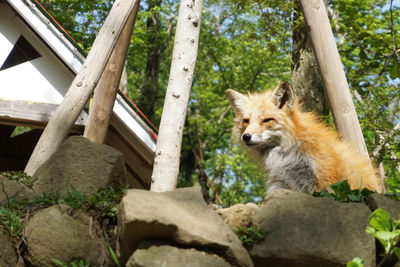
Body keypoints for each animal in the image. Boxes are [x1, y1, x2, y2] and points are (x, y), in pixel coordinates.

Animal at [227, 81, 382, 195]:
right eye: (246, 121)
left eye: (267, 120)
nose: (246, 137)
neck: (286, 154)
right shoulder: (282, 184)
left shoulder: (325, 182)